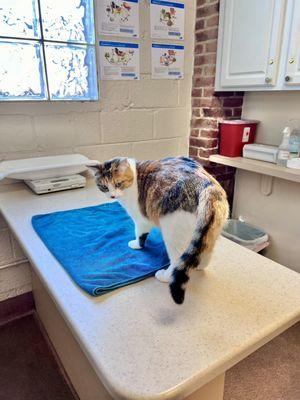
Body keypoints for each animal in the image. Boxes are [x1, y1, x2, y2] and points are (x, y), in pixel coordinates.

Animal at [90, 156, 229, 304]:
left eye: (118, 184)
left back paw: (165, 276)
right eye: (104, 187)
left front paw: (136, 245)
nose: (112, 196)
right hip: (208, 234)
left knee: (177, 260)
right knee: (204, 253)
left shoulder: (141, 220)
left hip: (172, 233)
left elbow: (139, 234)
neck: (135, 176)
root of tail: (208, 186)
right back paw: (199, 265)